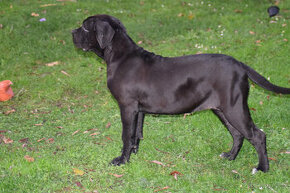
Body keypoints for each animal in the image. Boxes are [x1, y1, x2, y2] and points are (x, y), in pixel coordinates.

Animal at [71, 14, 288, 173]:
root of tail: (239, 65)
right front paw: (134, 153)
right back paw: (230, 157)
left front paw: (122, 160)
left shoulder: (127, 107)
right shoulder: (138, 110)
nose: (72, 32)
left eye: (85, 27)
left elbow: (126, 135)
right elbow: (136, 134)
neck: (119, 55)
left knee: (258, 135)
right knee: (238, 134)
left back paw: (262, 168)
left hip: (234, 108)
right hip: (222, 109)